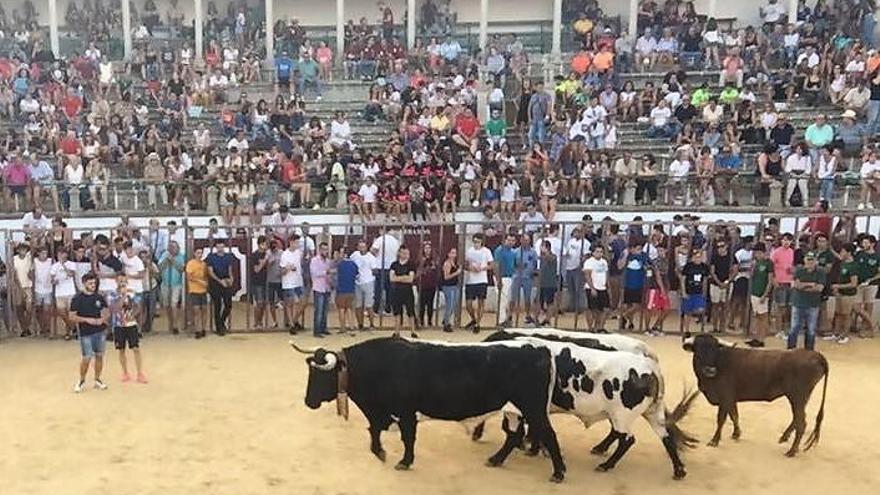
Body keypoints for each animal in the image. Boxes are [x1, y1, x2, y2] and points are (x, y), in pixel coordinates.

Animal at [294, 340, 572, 482]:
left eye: (320, 376)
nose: (308, 401)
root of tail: (538, 350)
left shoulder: (406, 413)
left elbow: (407, 438)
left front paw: (404, 461)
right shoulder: (382, 413)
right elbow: (373, 431)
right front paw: (380, 452)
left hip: (533, 409)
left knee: (549, 435)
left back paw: (558, 473)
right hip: (515, 410)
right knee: (515, 436)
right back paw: (495, 460)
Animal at [684, 334, 828, 458]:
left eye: (714, 350)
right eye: (698, 350)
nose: (711, 370)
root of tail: (816, 355)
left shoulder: (725, 397)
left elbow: (721, 419)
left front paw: (714, 441)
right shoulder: (731, 399)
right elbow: (734, 415)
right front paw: (736, 434)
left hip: (797, 397)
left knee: (801, 422)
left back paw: (791, 451)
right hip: (800, 398)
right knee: (797, 419)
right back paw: (784, 438)